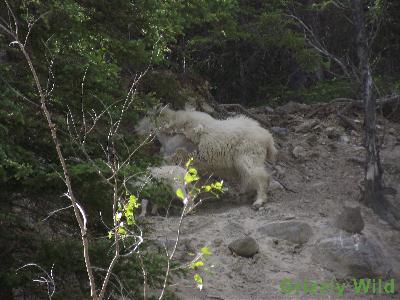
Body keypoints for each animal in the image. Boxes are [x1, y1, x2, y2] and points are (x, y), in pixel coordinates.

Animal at [136, 107, 276, 209]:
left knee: (260, 176)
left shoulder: (179, 159)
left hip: (248, 156)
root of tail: (268, 138)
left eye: (147, 115)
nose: (135, 129)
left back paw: (259, 201)